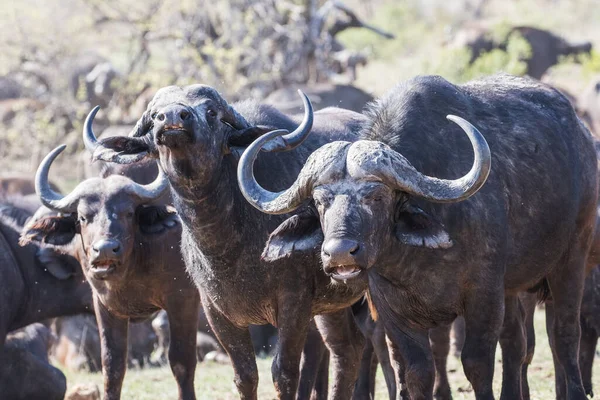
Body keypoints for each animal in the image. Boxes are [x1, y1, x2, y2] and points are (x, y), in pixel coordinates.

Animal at [82, 86, 368, 398]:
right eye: (155, 114)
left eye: (211, 112)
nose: (172, 117)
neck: (229, 248)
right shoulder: (216, 311)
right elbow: (245, 375)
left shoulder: (295, 304)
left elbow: (284, 373)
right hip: (335, 304)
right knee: (349, 350)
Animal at [237, 73, 596, 398]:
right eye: (321, 201)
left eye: (376, 197)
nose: (338, 253)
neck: (418, 258)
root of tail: (582, 136)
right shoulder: (392, 309)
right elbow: (417, 370)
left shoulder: (484, 293)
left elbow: (477, 363)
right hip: (514, 288)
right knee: (516, 344)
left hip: (573, 257)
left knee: (564, 334)